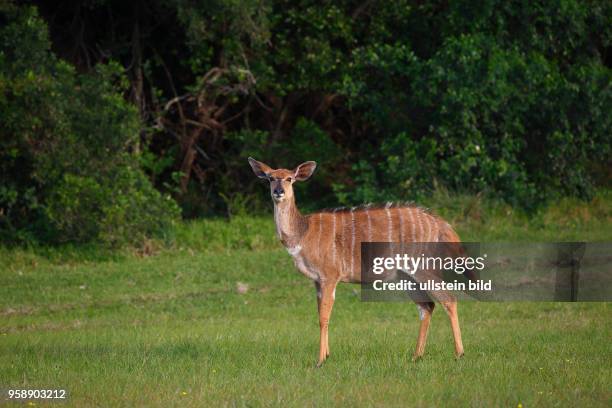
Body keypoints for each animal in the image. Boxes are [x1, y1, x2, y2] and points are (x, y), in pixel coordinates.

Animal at [249, 157, 464, 366]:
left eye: (290, 178)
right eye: (270, 178)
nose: (278, 192)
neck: (303, 234)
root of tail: (441, 224)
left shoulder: (330, 275)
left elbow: (324, 317)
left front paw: (320, 361)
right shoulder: (317, 280)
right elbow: (321, 314)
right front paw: (327, 355)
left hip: (422, 267)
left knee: (448, 299)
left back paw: (459, 354)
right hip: (405, 275)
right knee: (426, 306)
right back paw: (416, 356)